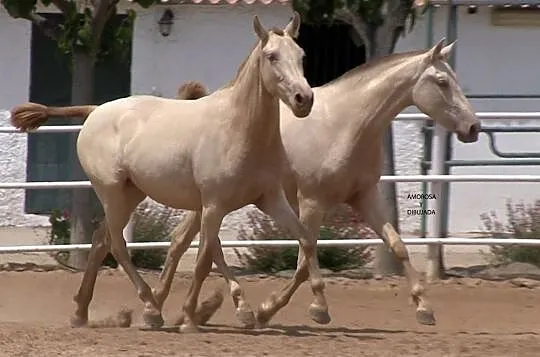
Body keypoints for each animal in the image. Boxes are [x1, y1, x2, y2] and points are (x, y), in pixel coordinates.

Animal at [9, 12, 324, 332]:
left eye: (301, 55)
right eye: (272, 56)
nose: (304, 99)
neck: (240, 128)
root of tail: (96, 110)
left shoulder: (269, 198)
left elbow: (306, 239)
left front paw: (319, 308)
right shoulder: (214, 205)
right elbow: (205, 258)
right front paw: (200, 317)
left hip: (131, 194)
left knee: (100, 241)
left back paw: (81, 312)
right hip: (111, 193)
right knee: (117, 244)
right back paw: (150, 308)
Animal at [149, 37, 480, 326]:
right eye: (442, 82)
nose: (473, 127)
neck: (346, 124)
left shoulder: (365, 197)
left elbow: (397, 245)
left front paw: (424, 308)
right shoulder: (311, 202)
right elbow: (303, 263)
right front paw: (287, 309)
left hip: (209, 202)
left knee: (186, 241)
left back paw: (167, 307)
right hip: (216, 201)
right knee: (199, 243)